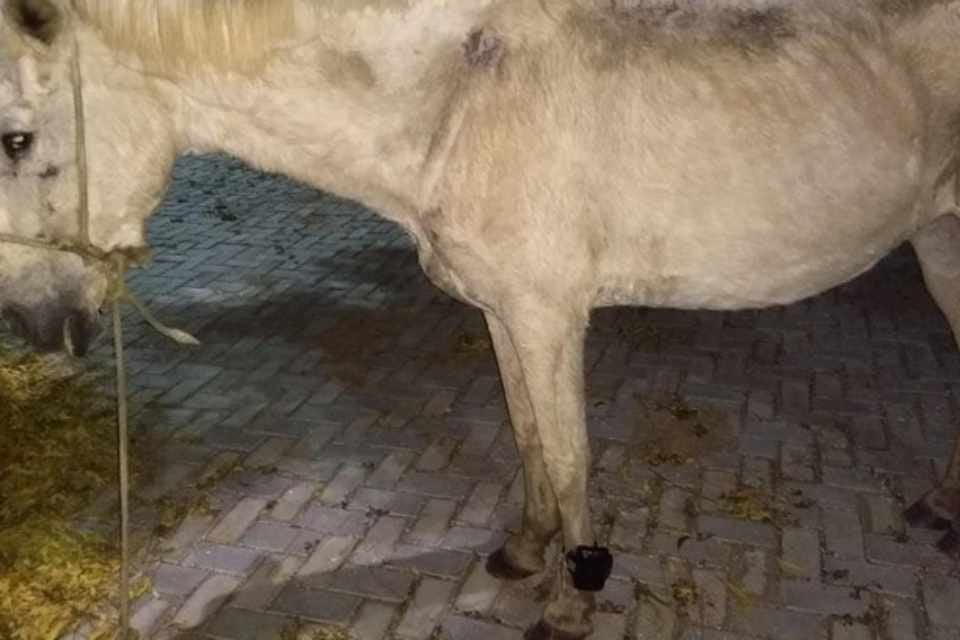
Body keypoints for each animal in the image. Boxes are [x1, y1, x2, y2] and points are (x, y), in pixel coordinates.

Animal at [2, 0, 960, 637]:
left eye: (14, 139)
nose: (31, 324)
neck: (455, 105)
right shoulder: (507, 315)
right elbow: (528, 436)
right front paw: (528, 552)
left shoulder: (548, 317)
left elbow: (569, 456)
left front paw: (576, 592)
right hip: (941, 243)